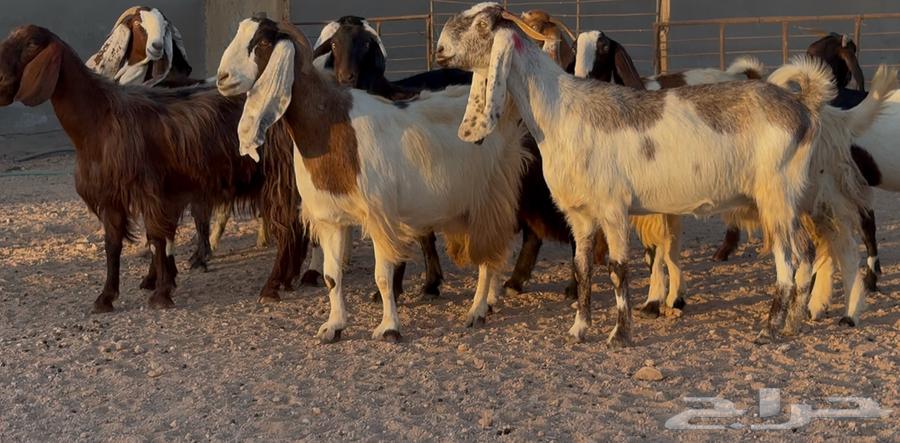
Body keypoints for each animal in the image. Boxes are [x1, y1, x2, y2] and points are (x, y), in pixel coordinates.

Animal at [0, 25, 307, 312]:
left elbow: (158, 240)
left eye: (31, 45)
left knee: (287, 230)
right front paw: (106, 297)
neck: (99, 121)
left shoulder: (151, 192)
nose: (0, 80)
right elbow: (113, 245)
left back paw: (272, 286)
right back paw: (289, 279)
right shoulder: (111, 197)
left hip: (280, 179)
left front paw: (161, 293)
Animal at [217, 17, 531, 342]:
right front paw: (333, 326)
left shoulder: (379, 214)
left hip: (489, 196)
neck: (332, 125)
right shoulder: (331, 218)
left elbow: (382, 277)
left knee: (487, 257)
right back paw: (489, 301)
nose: (222, 78)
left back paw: (477, 310)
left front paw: (389, 327)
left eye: (264, 42)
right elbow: (331, 276)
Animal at [437, 3, 835, 346]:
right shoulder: (579, 215)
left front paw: (620, 333)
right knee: (806, 253)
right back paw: (793, 323)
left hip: (776, 198)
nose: (440, 49)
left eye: (483, 24)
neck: (562, 110)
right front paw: (579, 329)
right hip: (794, 201)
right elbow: (582, 268)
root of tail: (803, 109)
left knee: (788, 263)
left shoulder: (614, 207)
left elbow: (618, 268)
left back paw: (770, 329)